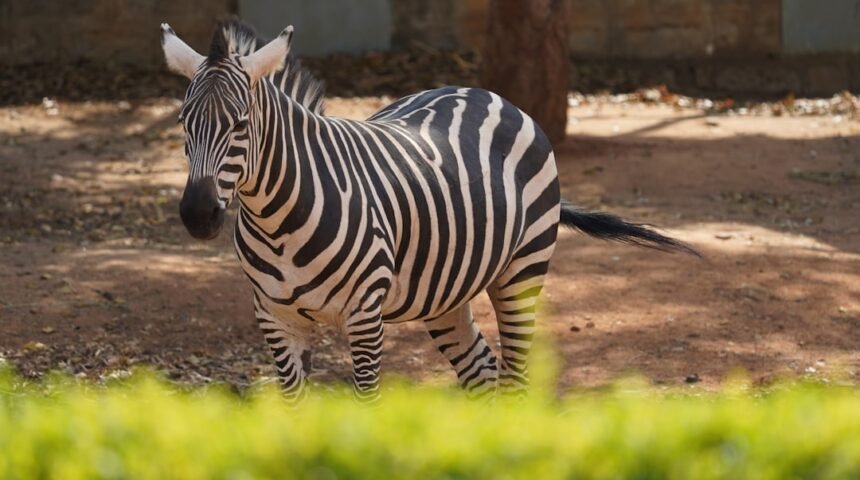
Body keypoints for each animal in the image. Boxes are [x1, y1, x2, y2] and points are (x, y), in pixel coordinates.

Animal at [161, 19, 696, 402]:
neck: (278, 223)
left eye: (240, 124)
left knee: (515, 379)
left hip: (523, 272)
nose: (198, 214)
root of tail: (486, 93)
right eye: (183, 121)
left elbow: (367, 405)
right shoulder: (275, 320)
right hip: (445, 291)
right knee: (482, 372)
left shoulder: (364, 315)